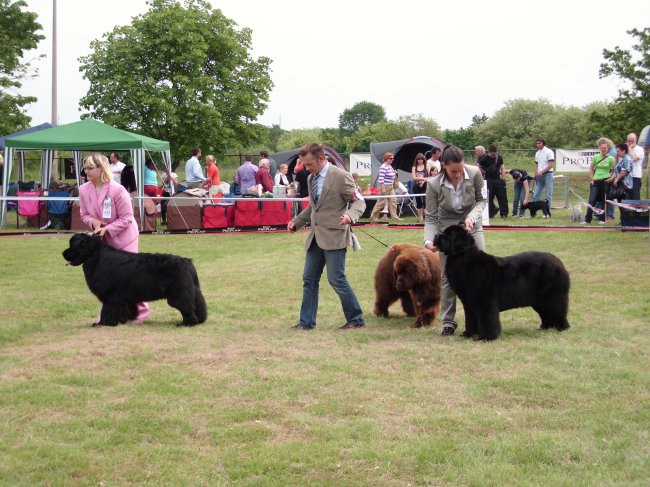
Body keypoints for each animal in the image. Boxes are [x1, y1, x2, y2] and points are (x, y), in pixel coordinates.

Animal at [61, 234, 205, 328]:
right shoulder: (124, 296)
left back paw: (186, 324)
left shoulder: (110, 295)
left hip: (178, 295)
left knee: (187, 308)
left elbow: (107, 310)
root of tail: (187, 262)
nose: (62, 253)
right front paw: (123, 320)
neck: (95, 254)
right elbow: (127, 308)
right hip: (194, 292)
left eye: (72, 245)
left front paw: (103, 323)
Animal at [436, 224, 568, 342]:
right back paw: (545, 328)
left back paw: (562, 328)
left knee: (557, 311)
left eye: (449, 235)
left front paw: (486, 337)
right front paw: (468, 334)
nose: (436, 235)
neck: (462, 258)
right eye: (443, 232)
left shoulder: (484, 301)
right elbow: (470, 319)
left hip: (551, 298)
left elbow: (487, 320)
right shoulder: (468, 303)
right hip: (540, 301)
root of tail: (558, 262)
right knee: (546, 314)